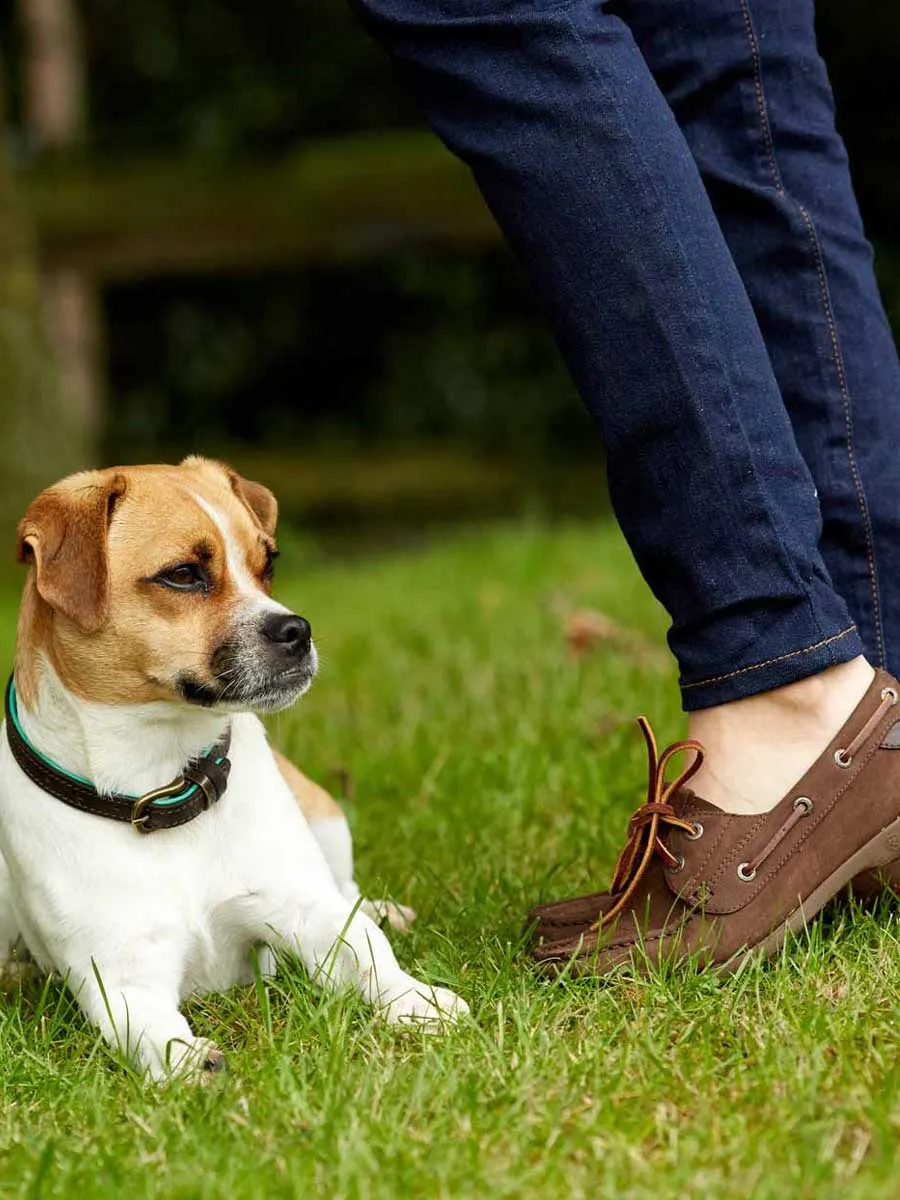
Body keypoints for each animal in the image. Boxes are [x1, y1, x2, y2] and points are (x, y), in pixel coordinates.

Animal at [0, 456, 468, 1080]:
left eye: (267, 563)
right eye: (182, 574)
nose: (298, 630)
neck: (165, 785)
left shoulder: (305, 915)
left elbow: (370, 957)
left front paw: (420, 1002)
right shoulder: (119, 979)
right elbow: (149, 1033)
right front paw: (188, 1061)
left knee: (348, 889)